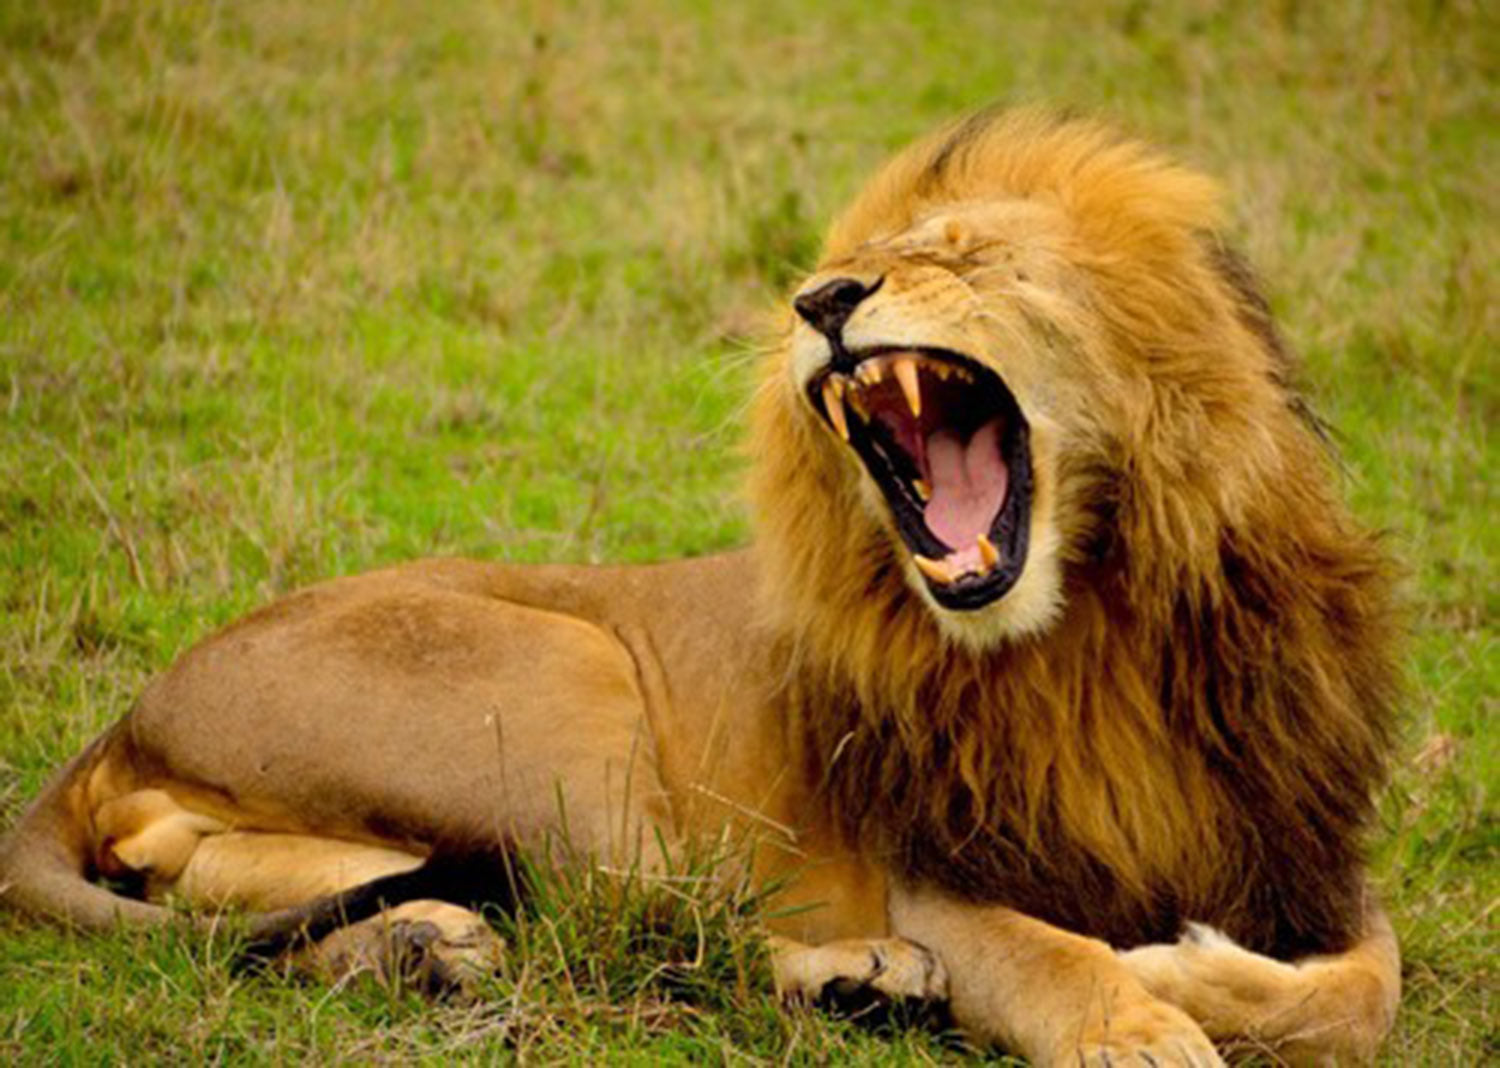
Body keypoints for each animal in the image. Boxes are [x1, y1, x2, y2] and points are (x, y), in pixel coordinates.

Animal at [0, 110, 1401, 1066]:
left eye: (966, 255)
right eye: (858, 259)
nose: (822, 298)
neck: (1095, 628)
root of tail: (130, 711)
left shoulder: (1305, 850)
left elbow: (1362, 992)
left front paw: (1190, 971)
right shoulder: (936, 872)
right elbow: (1054, 956)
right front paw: (1142, 1018)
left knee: (223, 883)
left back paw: (424, 945)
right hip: (565, 683)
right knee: (648, 921)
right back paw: (855, 978)